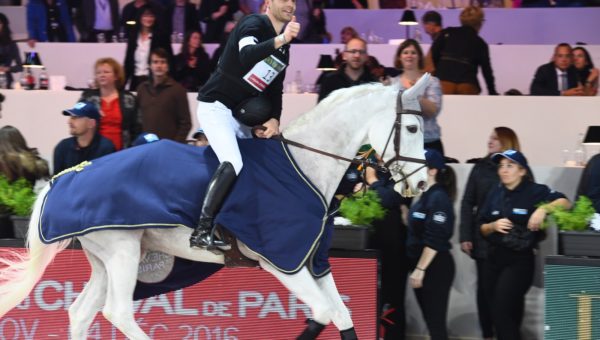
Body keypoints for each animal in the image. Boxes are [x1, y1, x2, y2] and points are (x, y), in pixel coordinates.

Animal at [0, 75, 432, 340]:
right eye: (412, 128)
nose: (423, 183)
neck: (305, 167)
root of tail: (66, 176)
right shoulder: (283, 264)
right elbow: (323, 313)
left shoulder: (313, 261)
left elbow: (340, 316)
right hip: (121, 251)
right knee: (118, 313)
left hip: (108, 258)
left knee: (80, 312)